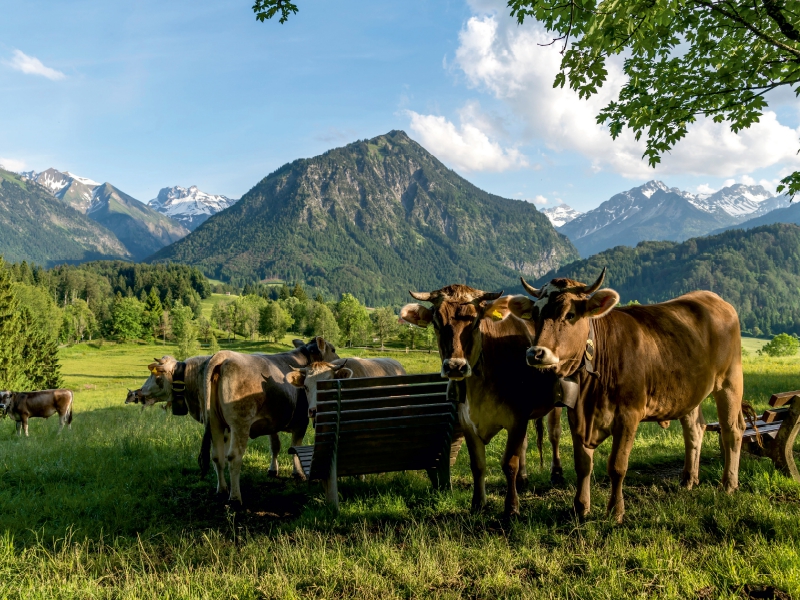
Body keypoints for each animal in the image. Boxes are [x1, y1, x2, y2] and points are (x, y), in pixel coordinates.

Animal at [205, 336, 340, 504]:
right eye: (333, 349)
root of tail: (223, 358)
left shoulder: (271, 422)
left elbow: (275, 446)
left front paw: (273, 470)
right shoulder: (302, 421)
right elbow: (294, 447)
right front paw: (298, 473)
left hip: (215, 422)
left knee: (217, 456)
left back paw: (222, 490)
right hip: (240, 423)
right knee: (234, 457)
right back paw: (235, 497)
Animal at [510, 270, 752, 524]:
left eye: (570, 314)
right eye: (535, 314)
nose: (536, 353)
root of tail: (714, 298)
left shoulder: (629, 416)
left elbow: (617, 466)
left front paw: (615, 511)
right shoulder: (577, 415)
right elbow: (583, 464)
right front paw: (580, 507)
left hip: (729, 381)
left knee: (732, 430)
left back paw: (728, 484)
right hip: (689, 391)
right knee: (695, 430)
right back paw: (688, 480)